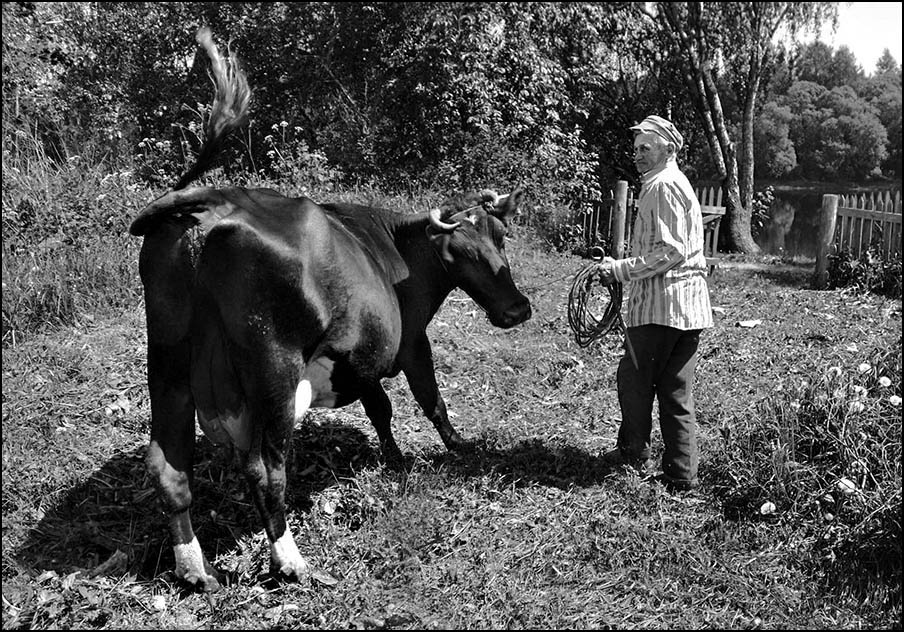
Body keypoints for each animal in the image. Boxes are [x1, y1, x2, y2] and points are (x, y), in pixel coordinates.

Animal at [131, 28, 532, 592]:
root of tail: (210, 204)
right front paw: (455, 445)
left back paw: (193, 568)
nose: (517, 310)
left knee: (168, 466)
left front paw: (394, 458)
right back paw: (289, 560)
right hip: (272, 369)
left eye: (500, 236)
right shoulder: (410, 341)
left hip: (167, 363)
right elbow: (428, 399)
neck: (393, 248)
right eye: (460, 252)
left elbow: (379, 408)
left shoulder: (356, 358)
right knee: (265, 468)